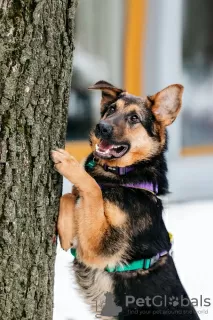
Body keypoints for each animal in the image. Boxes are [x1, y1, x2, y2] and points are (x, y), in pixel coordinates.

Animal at [51, 81, 200, 318]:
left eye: (134, 118)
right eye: (112, 109)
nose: (101, 127)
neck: (125, 179)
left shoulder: (100, 247)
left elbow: (92, 188)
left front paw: (69, 163)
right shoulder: (85, 244)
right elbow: (70, 195)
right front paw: (64, 233)